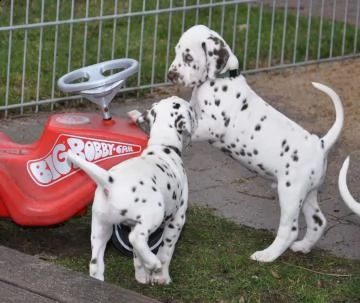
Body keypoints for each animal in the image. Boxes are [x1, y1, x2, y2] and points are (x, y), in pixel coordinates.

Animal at [66, 97, 195, 284]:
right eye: (191, 109)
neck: (163, 146)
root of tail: (110, 180)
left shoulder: (133, 224)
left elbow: (136, 256)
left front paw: (141, 276)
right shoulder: (177, 220)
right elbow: (166, 251)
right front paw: (161, 276)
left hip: (101, 227)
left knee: (96, 263)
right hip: (153, 215)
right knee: (136, 238)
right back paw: (153, 262)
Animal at [167, 25, 344, 264]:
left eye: (188, 57)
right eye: (177, 52)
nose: (170, 75)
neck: (222, 79)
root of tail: (321, 143)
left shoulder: (211, 125)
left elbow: (190, 126)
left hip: (290, 192)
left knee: (290, 229)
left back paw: (267, 255)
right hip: (308, 192)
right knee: (318, 222)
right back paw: (303, 247)